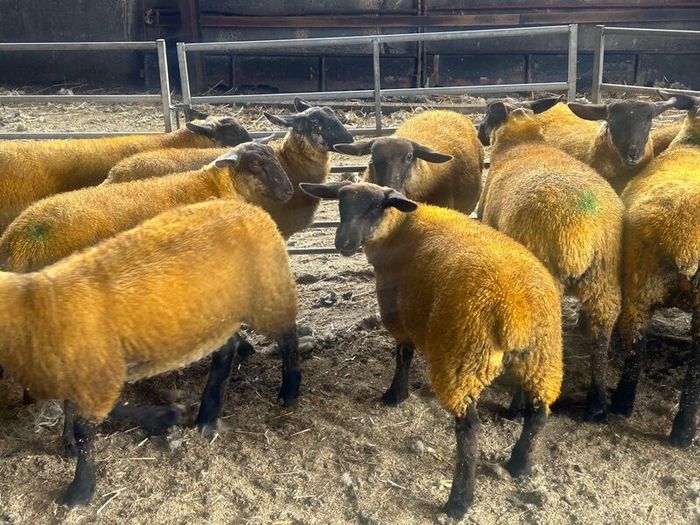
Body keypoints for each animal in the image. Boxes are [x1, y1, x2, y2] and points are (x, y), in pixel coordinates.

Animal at [0, 198, 298, 507]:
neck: (35, 308)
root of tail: (249, 208)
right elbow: (78, 410)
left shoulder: (96, 374)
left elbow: (87, 430)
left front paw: (79, 491)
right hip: (215, 317)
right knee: (227, 349)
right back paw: (207, 415)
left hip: (270, 294)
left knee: (289, 338)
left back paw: (288, 391)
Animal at [300, 181, 562, 519]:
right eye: (341, 205)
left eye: (375, 208)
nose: (343, 242)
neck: (400, 229)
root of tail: (514, 312)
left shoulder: (399, 315)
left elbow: (403, 355)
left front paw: (395, 395)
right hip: (542, 358)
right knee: (538, 413)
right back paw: (519, 462)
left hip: (463, 360)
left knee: (469, 430)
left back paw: (458, 502)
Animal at [477, 97, 624, 422]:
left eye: (488, 115)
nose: (479, 133)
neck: (523, 143)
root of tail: (581, 233)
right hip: (604, 276)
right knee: (602, 329)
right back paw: (596, 404)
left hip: (544, 279)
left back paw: (517, 407)